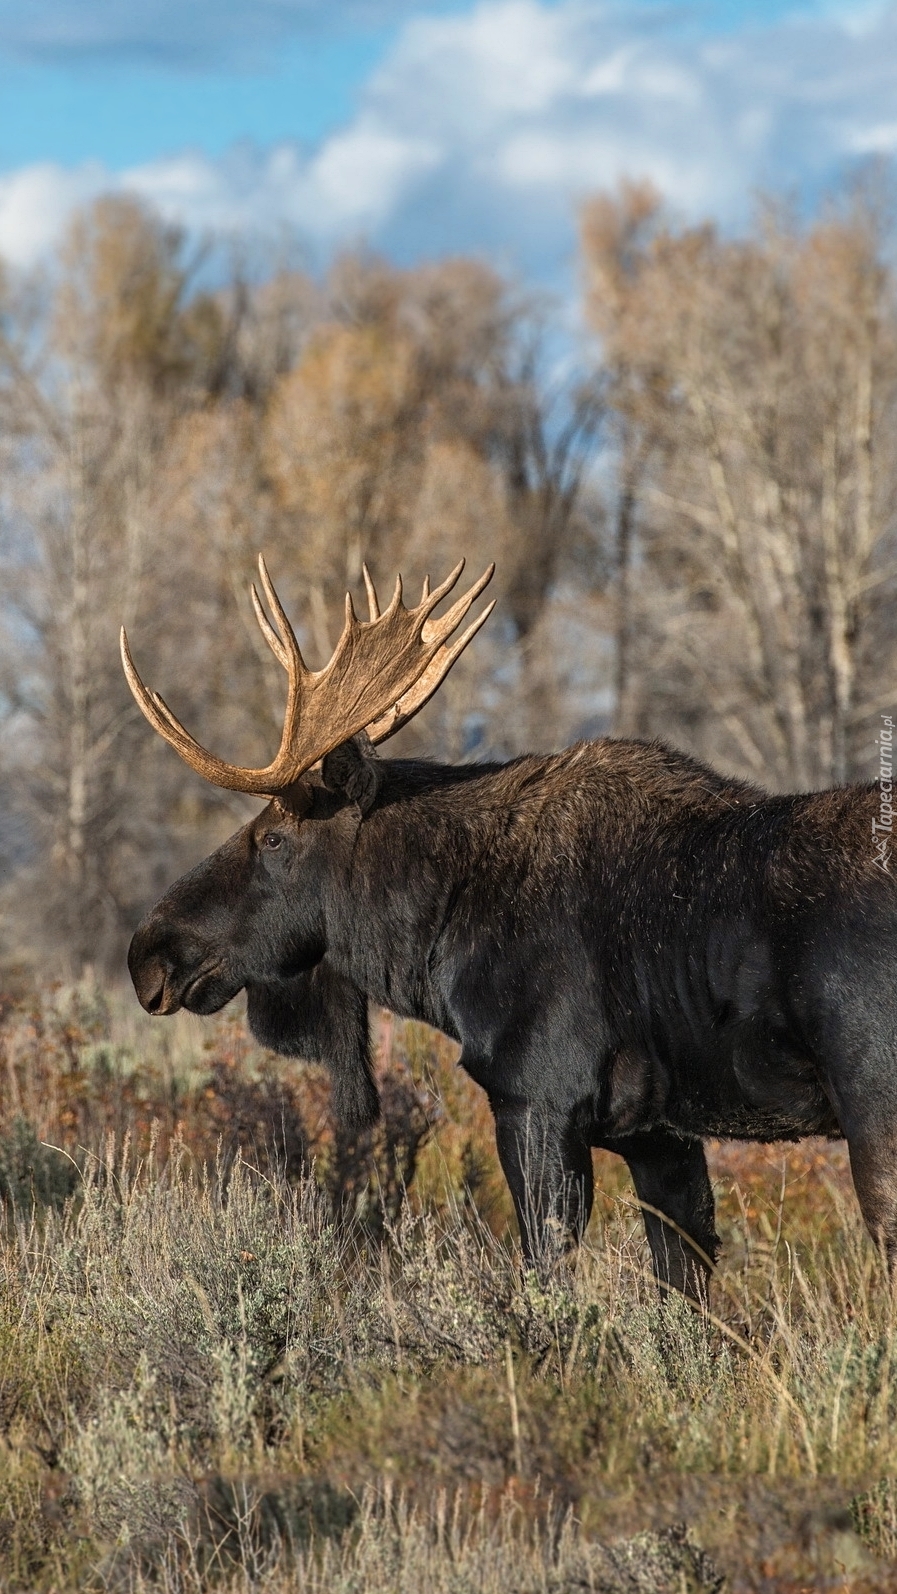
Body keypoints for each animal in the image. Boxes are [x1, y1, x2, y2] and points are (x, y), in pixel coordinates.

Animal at [124, 554, 897, 1300]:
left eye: (273, 837)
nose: (148, 952)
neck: (435, 942)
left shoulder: (536, 1098)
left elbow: (546, 1276)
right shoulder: (659, 1135)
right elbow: (682, 1287)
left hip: (874, 1103)